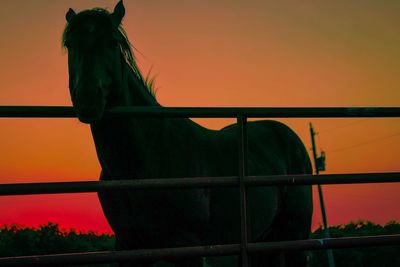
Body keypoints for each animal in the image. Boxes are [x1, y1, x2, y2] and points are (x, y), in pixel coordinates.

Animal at [62, 1, 312, 266]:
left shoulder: (188, 248)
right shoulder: (129, 247)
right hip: (265, 242)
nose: (88, 98)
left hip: (295, 237)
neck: (143, 160)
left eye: (113, 42)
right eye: (70, 44)